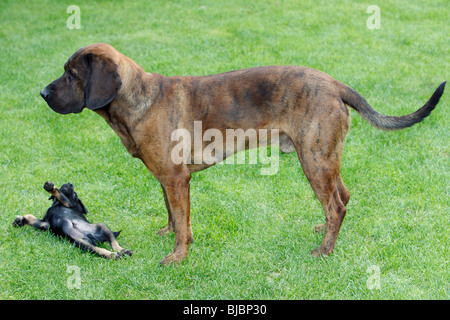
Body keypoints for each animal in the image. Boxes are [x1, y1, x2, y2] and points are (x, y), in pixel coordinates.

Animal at [39, 42, 446, 264]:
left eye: (72, 75)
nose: (42, 93)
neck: (141, 100)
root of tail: (335, 84)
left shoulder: (176, 179)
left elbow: (183, 225)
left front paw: (178, 256)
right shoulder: (168, 180)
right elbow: (174, 215)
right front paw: (168, 233)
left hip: (313, 159)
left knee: (336, 204)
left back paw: (324, 251)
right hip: (325, 157)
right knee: (342, 196)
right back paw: (324, 231)